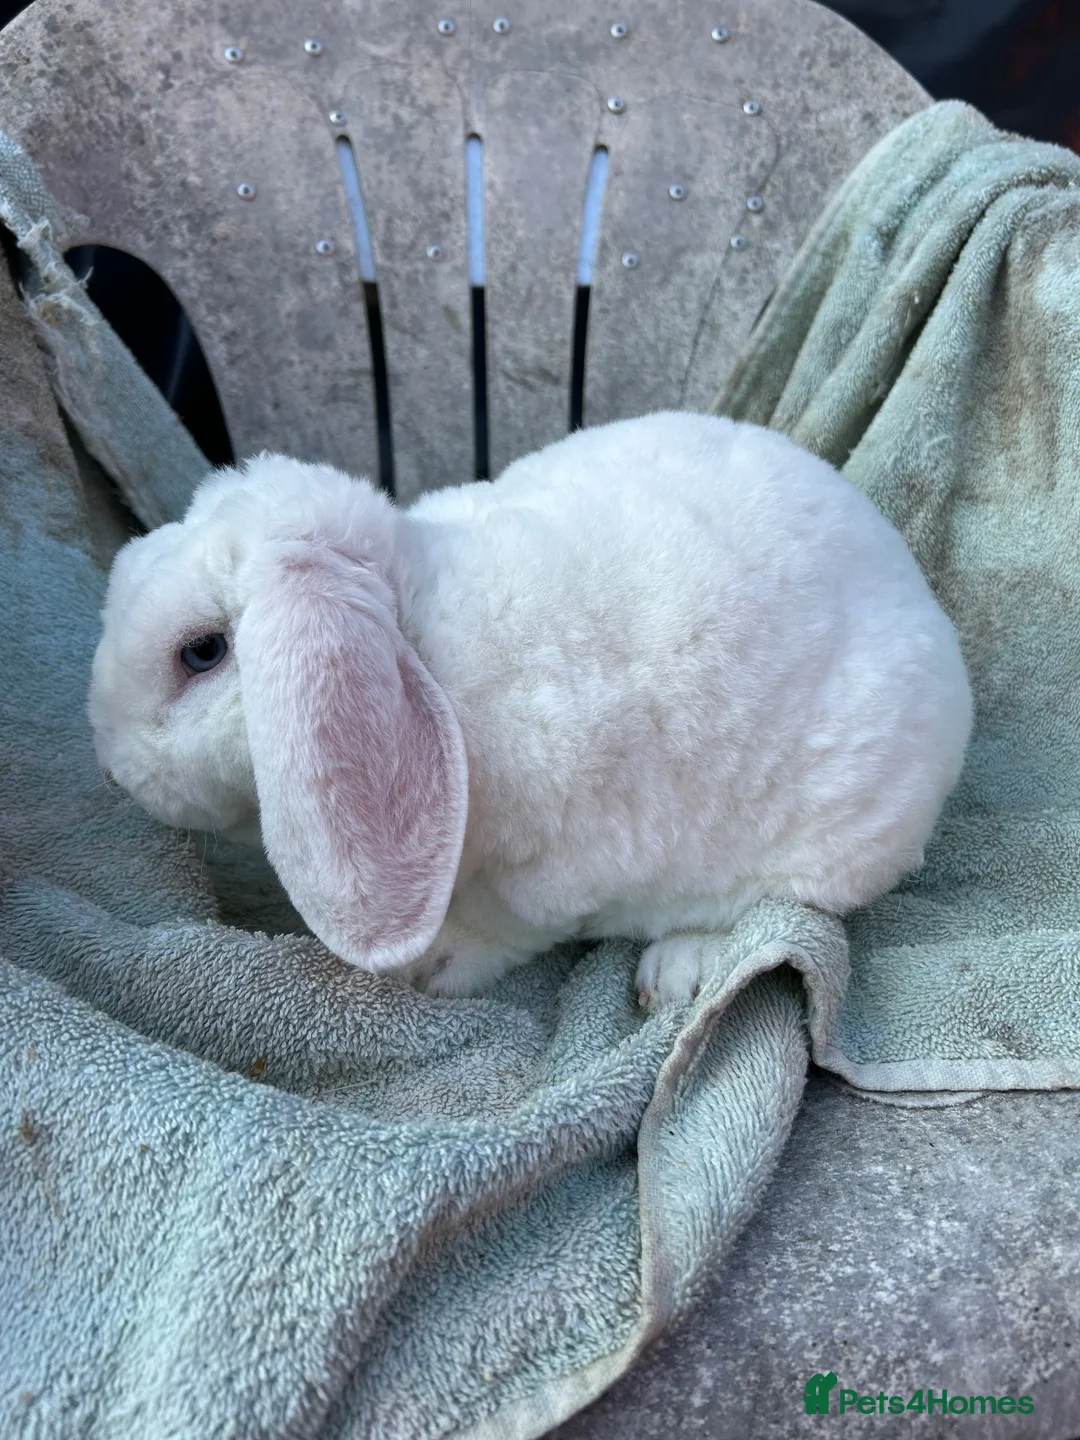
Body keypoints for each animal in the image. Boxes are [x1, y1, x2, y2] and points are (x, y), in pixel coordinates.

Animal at [88, 411, 972, 1007]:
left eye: (202, 651)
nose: (110, 761)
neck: (416, 635)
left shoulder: (554, 876)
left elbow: (506, 931)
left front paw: (429, 969)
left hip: (838, 839)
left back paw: (674, 974)